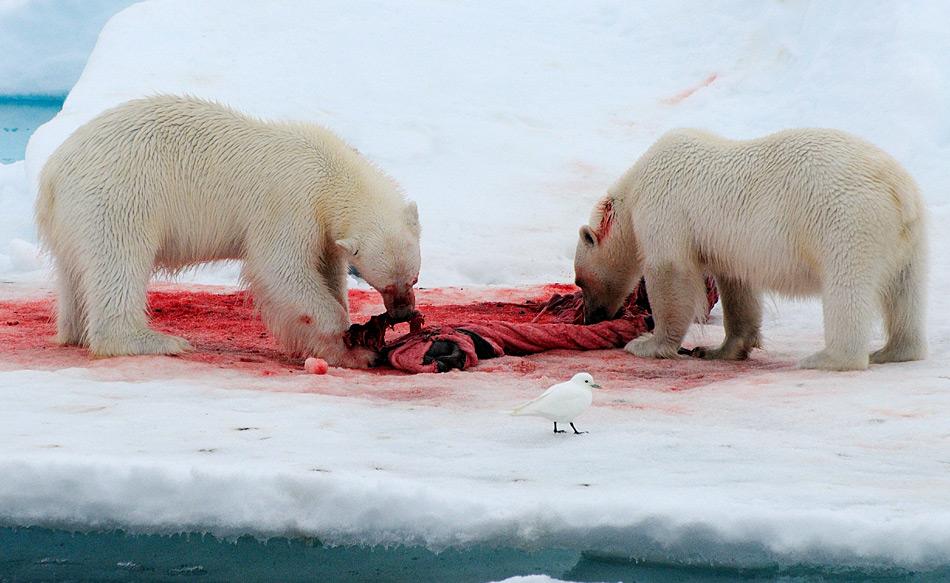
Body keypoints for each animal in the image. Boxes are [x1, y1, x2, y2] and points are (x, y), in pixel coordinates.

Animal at [37, 97, 422, 370]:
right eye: (387, 285)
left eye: (413, 279)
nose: (403, 312)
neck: (330, 172)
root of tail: (52, 172)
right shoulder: (290, 204)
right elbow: (282, 271)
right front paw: (354, 347)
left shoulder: (322, 229)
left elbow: (327, 269)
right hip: (119, 197)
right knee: (120, 261)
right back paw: (156, 341)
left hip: (74, 219)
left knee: (76, 272)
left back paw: (75, 333)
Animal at [572, 129, 928, 372]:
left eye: (580, 281)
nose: (592, 317)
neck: (634, 188)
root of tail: (898, 191)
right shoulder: (727, 247)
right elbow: (737, 289)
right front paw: (719, 350)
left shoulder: (664, 209)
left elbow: (672, 273)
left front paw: (648, 344)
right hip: (910, 238)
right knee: (905, 292)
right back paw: (894, 351)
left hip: (846, 221)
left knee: (847, 289)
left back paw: (826, 358)